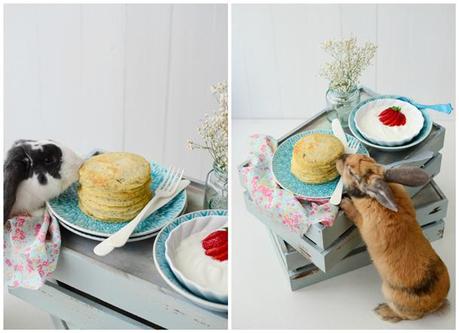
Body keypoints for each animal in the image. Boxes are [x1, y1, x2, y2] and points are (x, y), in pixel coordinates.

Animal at [336, 154, 452, 322]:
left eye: (351, 172)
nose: (341, 156)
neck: (371, 198)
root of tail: (435, 304)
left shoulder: (363, 223)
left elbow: (355, 215)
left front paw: (345, 203)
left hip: (389, 294)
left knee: (406, 317)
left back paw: (383, 311)